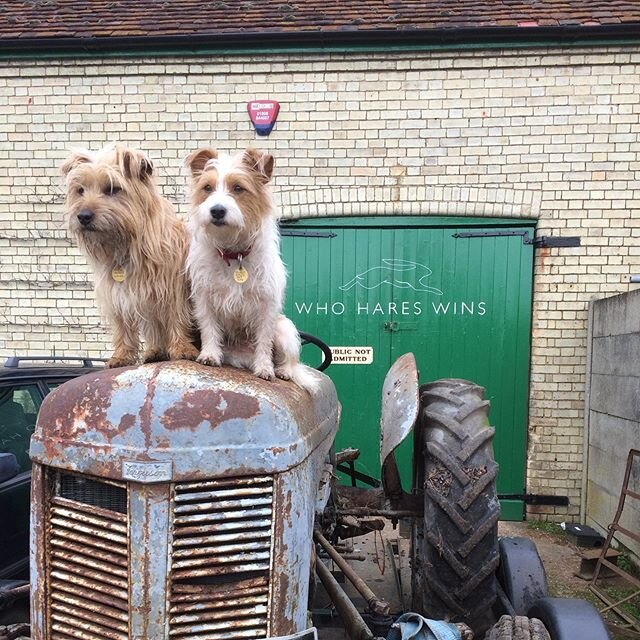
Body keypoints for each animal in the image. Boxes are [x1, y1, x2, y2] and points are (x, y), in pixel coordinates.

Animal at [62, 143, 199, 368]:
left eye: (111, 189)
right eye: (80, 190)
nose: (83, 216)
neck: (126, 243)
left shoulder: (172, 288)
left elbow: (176, 317)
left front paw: (182, 348)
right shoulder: (119, 293)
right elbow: (123, 326)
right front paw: (122, 355)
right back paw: (154, 351)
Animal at [185, 148, 318, 390]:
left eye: (238, 188)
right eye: (207, 188)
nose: (217, 210)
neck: (233, 253)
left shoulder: (267, 305)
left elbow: (264, 341)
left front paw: (265, 368)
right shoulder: (204, 297)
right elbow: (209, 327)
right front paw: (210, 355)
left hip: (284, 329)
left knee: (289, 360)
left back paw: (283, 370)